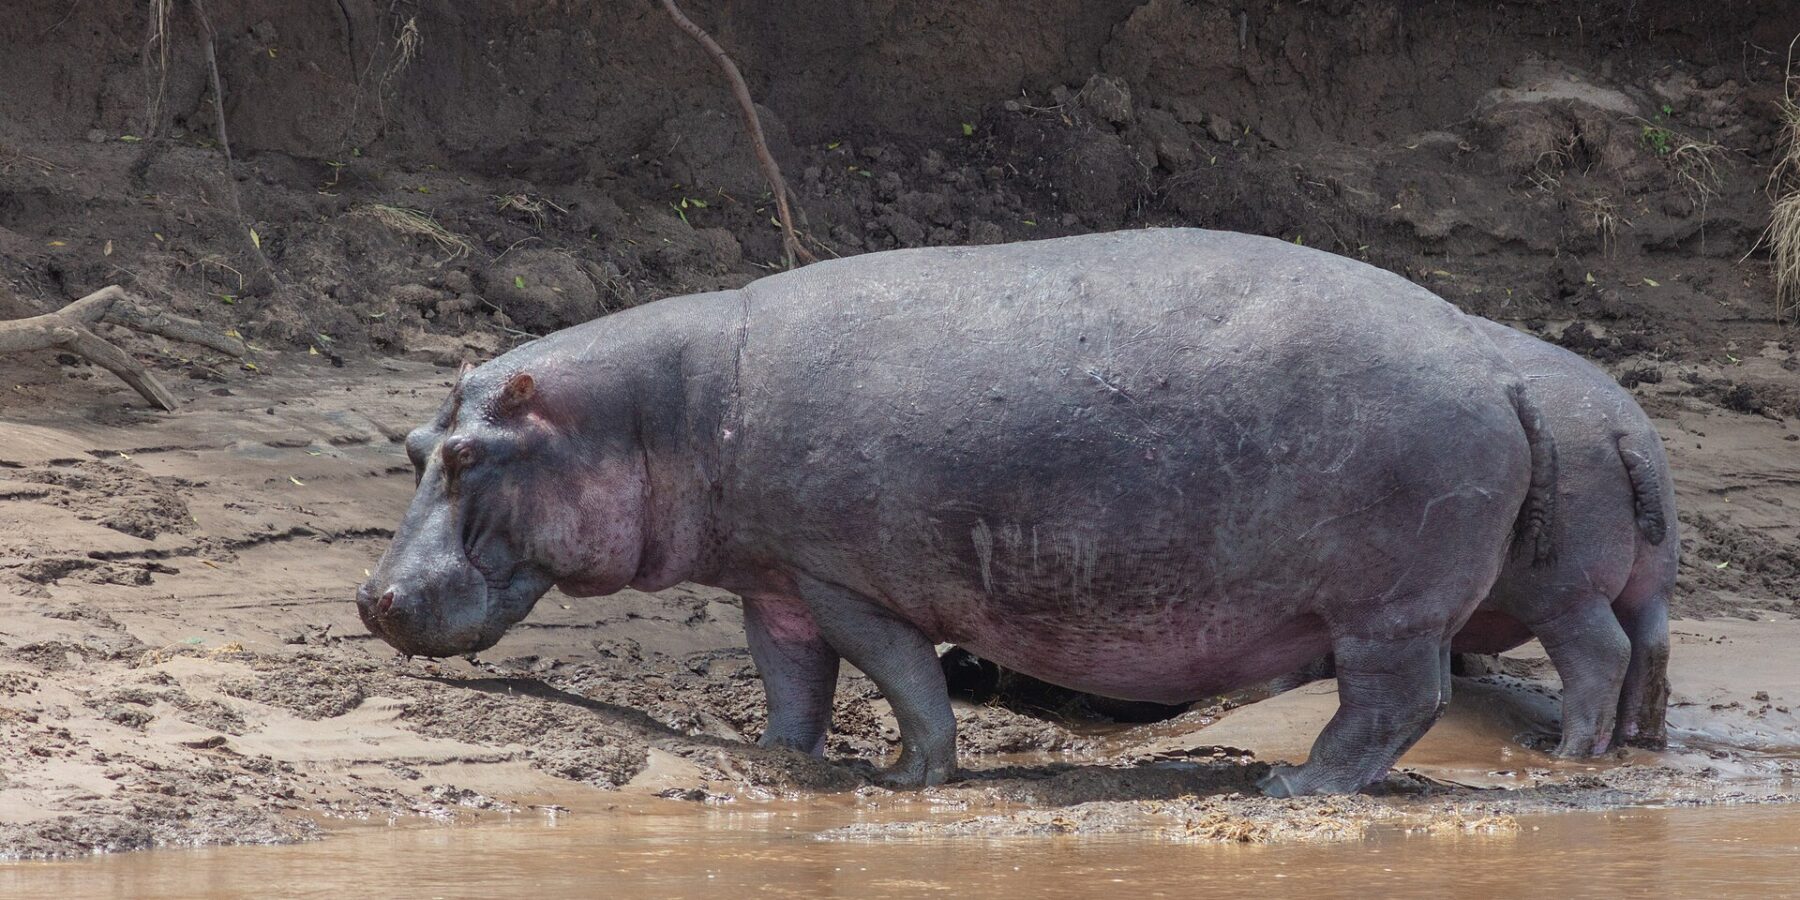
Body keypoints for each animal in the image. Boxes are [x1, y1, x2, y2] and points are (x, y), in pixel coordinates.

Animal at [356, 228, 1558, 796]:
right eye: (413, 445)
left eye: (468, 454)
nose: (372, 598)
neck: (661, 413)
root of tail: (1497, 368)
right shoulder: (774, 579)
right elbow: (791, 677)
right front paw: (784, 761)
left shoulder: (844, 578)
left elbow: (900, 674)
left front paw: (905, 777)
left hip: (1387, 612)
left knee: (1394, 703)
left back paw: (1295, 783)